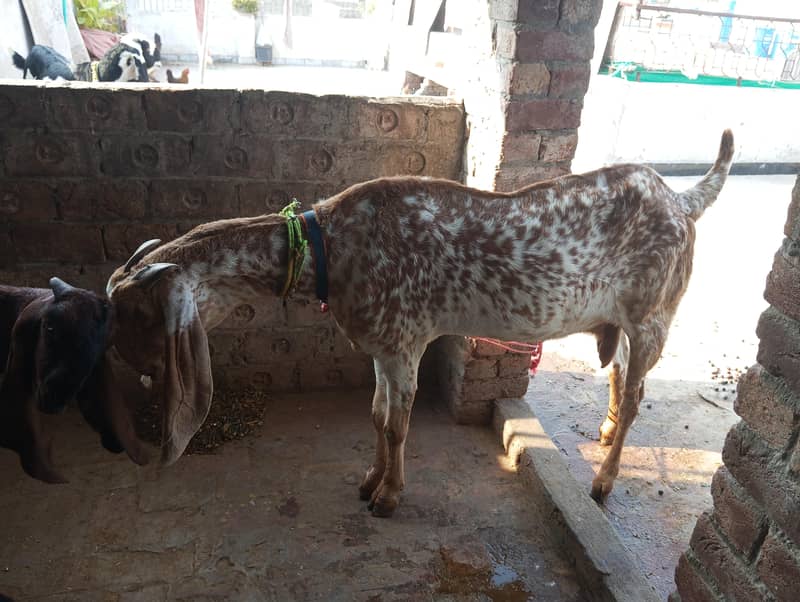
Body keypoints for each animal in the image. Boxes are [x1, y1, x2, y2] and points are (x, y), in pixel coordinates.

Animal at [105, 130, 734, 517]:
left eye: (137, 314)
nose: (132, 369)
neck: (332, 247)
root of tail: (683, 200)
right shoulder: (381, 349)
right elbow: (377, 415)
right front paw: (369, 479)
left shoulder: (406, 343)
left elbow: (398, 424)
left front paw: (388, 496)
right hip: (624, 320)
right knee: (622, 376)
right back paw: (603, 433)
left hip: (654, 315)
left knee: (637, 396)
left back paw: (604, 480)